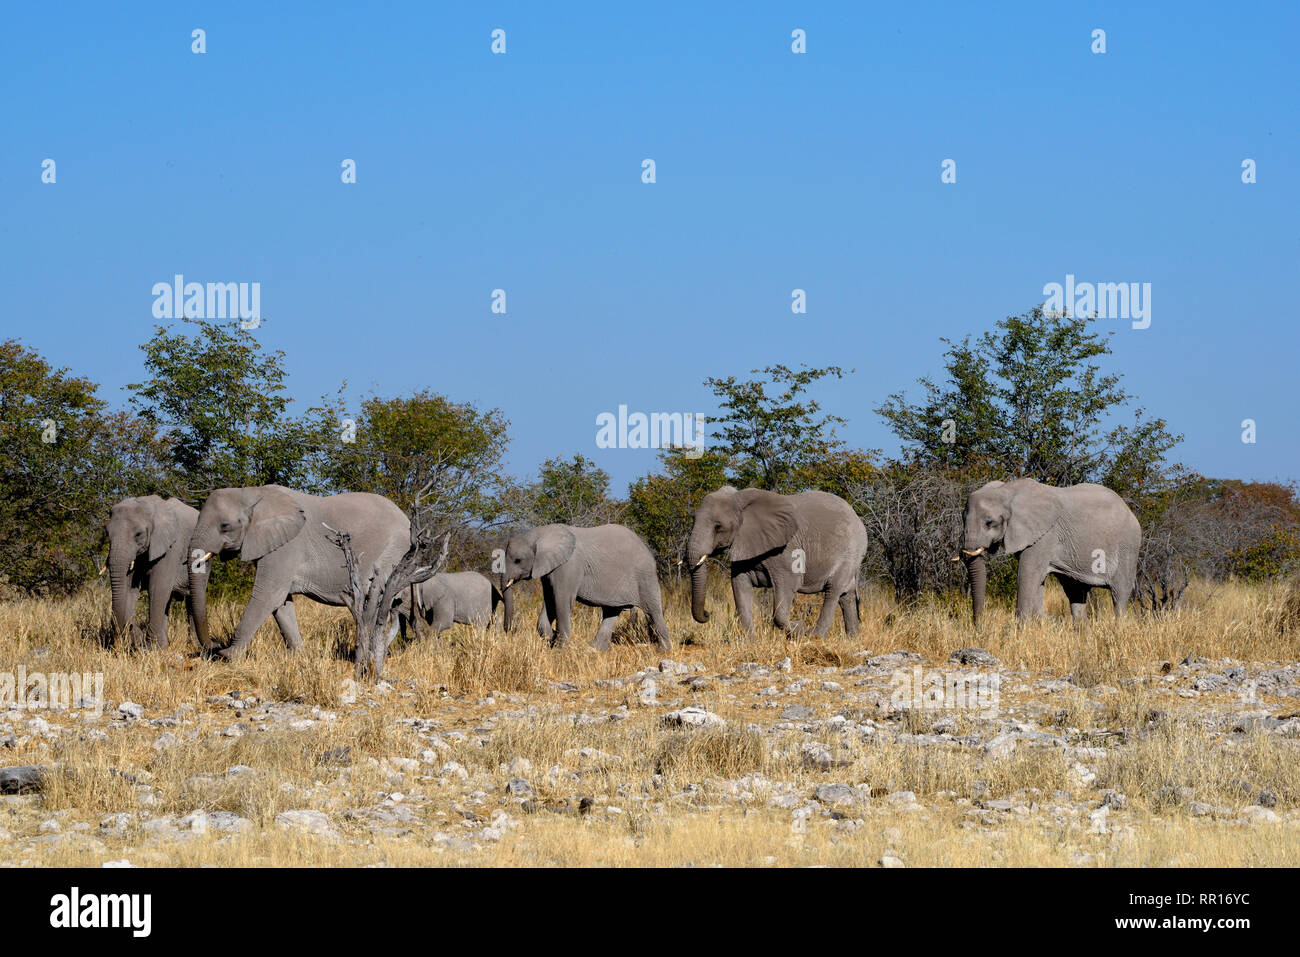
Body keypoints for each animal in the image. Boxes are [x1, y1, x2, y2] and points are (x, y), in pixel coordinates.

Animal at [106, 495, 200, 649]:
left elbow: (157, 588)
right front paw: (148, 644)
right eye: (107, 533)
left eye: (138, 534)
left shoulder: (171, 547)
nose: (138, 638)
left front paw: (151, 649)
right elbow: (130, 590)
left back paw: (195, 646)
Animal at [187, 485, 411, 658]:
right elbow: (282, 603)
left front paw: (228, 656)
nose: (214, 646)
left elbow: (268, 596)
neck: (253, 493)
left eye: (225, 526)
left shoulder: (287, 546)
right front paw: (300, 656)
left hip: (393, 552)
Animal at [501, 524, 670, 650]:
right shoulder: (549, 569)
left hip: (644, 575)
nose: (511, 630)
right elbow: (549, 600)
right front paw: (553, 638)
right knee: (611, 611)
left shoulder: (569, 566)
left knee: (652, 610)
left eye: (518, 560)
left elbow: (561, 601)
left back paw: (663, 650)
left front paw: (560, 649)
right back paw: (594, 649)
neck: (540, 533)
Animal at [687, 486, 867, 638]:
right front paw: (749, 641)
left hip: (851, 552)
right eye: (693, 519)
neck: (740, 499)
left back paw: (815, 636)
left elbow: (787, 588)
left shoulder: (786, 549)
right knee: (846, 595)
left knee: (833, 591)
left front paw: (799, 629)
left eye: (718, 527)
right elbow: (740, 586)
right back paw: (852, 638)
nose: (708, 613)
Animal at [958, 478, 1141, 625]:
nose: (979, 627)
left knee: (1119, 595)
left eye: (989, 522)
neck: (1007, 490)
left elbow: (1027, 575)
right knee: (1075, 593)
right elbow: (1037, 581)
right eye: (962, 518)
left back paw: (1118, 628)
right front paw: (1043, 625)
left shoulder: (1045, 535)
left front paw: (1017, 633)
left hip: (1128, 547)